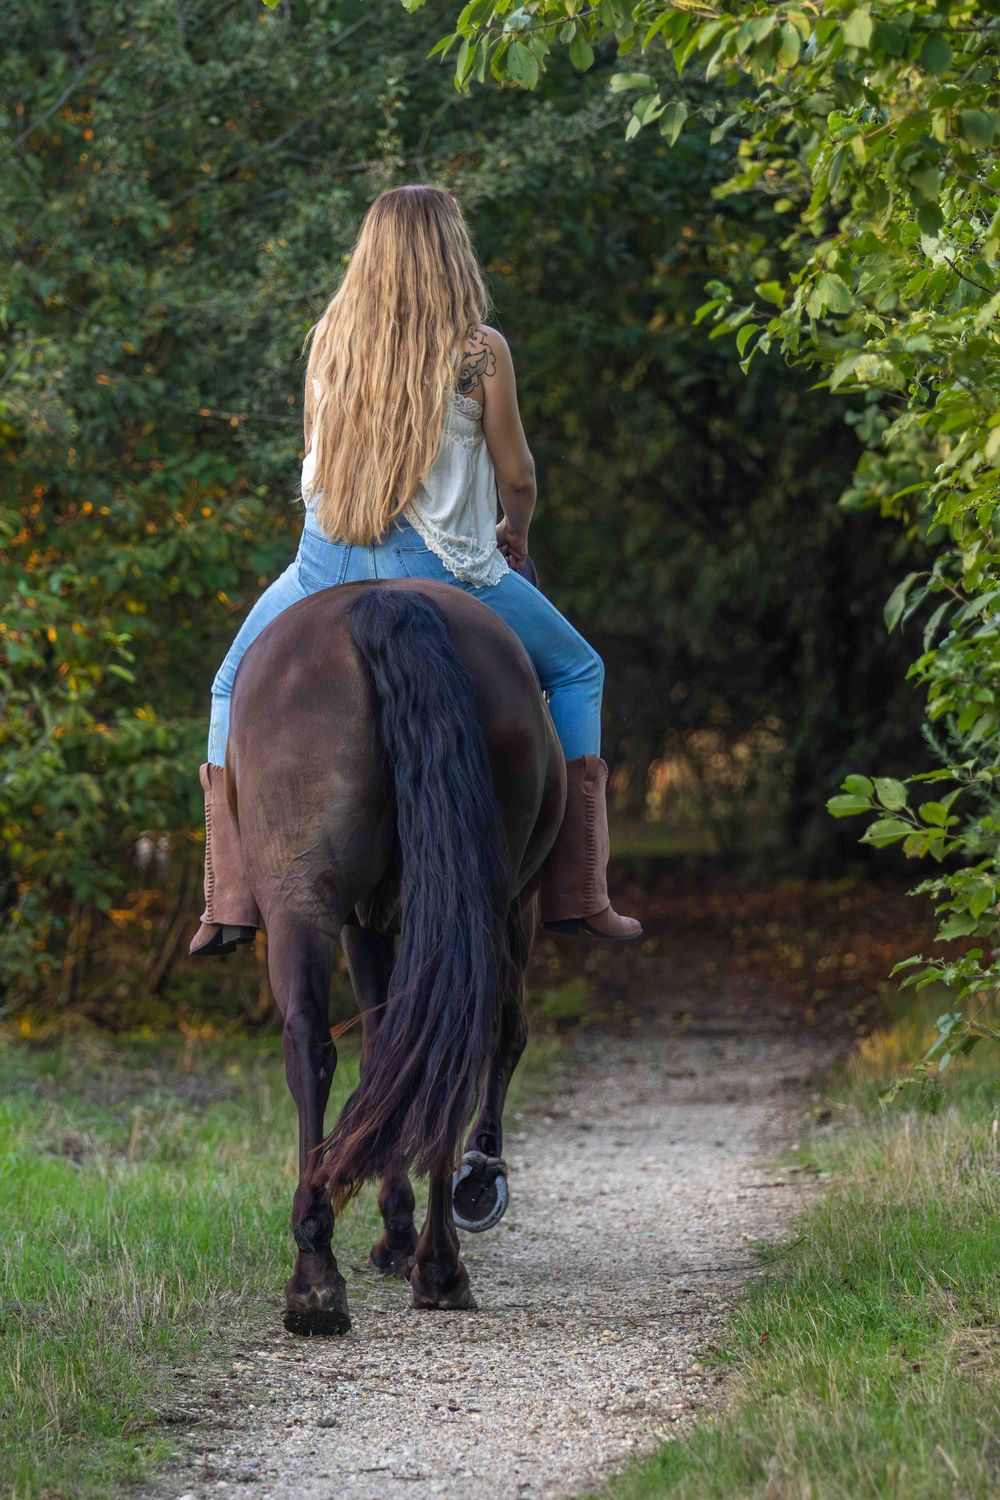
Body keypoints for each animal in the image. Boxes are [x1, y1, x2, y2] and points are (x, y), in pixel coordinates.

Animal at [224, 577, 565, 1335]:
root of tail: (384, 600)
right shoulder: (499, 913)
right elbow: (489, 1036)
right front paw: (458, 1188)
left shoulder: (368, 923)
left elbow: (388, 1047)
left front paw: (396, 1225)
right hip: (469, 907)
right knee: (445, 1047)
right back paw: (434, 1266)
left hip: (304, 904)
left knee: (315, 1045)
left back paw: (320, 1274)